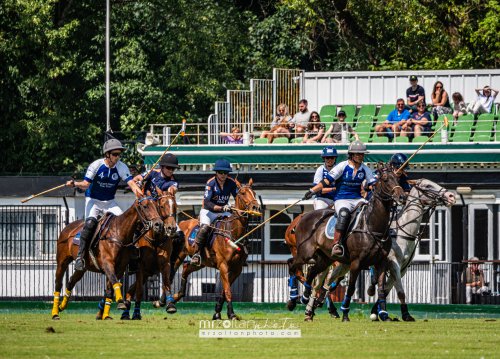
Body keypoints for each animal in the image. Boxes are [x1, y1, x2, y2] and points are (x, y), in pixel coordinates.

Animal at [50, 193, 162, 322]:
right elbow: (114, 282)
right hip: (62, 261)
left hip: (82, 268)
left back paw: (62, 306)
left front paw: (105, 315)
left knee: (71, 281)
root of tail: (67, 227)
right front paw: (120, 303)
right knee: (58, 284)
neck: (120, 233)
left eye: (157, 206)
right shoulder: (108, 263)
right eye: (145, 206)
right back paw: (55, 313)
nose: (159, 224)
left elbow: (110, 288)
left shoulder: (120, 267)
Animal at [172, 180, 260, 320]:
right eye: (243, 193)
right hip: (177, 256)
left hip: (202, 262)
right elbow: (228, 290)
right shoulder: (223, 265)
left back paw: (177, 295)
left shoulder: (237, 269)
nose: (256, 208)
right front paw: (231, 313)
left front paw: (217, 312)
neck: (234, 233)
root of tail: (180, 224)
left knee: (185, 267)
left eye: (254, 193)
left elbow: (224, 290)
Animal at [292, 165, 406, 324]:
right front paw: (345, 314)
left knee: (312, 271)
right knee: (292, 265)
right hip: (304, 253)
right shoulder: (356, 263)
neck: (372, 225)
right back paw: (293, 299)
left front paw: (384, 314)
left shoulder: (381, 262)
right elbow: (351, 288)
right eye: (385, 179)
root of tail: (302, 217)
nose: (402, 197)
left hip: (325, 258)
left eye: (397, 178)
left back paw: (306, 298)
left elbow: (381, 290)